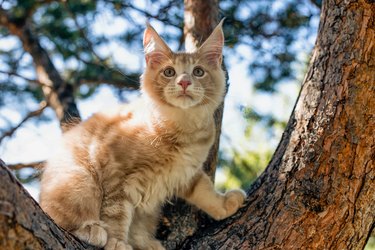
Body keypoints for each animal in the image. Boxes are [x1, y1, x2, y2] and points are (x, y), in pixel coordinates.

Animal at [39, 21, 247, 250]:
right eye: (169, 72)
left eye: (198, 72)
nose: (184, 82)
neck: (183, 129)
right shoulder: (116, 174)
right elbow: (116, 213)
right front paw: (116, 242)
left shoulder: (187, 171)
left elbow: (204, 188)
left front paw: (223, 204)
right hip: (81, 180)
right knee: (62, 217)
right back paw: (91, 229)